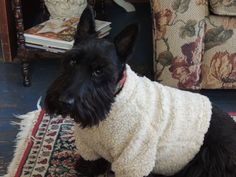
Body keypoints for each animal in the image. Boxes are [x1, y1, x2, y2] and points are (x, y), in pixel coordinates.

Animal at [44, 5, 236, 177]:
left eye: (99, 71)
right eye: (72, 61)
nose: (64, 101)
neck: (113, 100)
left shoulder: (133, 157)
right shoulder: (90, 150)